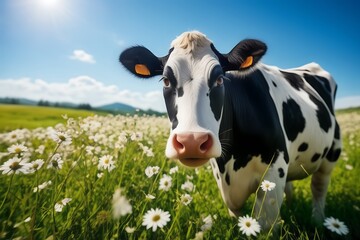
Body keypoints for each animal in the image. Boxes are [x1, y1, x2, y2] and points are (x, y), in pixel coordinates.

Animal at [119, 30, 342, 231]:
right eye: (165, 80)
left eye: (219, 79)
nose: (191, 142)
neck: (232, 161)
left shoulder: (273, 170)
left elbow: (265, 225)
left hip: (332, 152)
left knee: (319, 188)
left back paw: (318, 221)